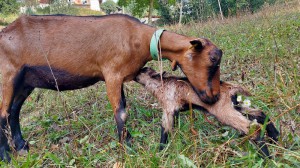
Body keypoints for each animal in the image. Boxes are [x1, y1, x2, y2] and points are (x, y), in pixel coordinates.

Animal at [0, 13, 221, 161]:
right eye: (212, 60)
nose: (214, 96)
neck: (138, 39)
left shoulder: (120, 77)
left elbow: (122, 107)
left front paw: (128, 141)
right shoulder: (111, 74)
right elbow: (121, 112)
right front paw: (128, 148)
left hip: (26, 82)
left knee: (13, 112)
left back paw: (22, 147)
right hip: (8, 76)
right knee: (4, 113)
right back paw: (7, 157)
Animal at [134, 67, 278, 158]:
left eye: (143, 70)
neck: (161, 84)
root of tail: (230, 87)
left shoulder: (168, 108)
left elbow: (165, 130)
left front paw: (161, 152)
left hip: (224, 112)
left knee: (253, 128)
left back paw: (267, 158)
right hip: (235, 105)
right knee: (260, 113)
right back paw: (275, 138)